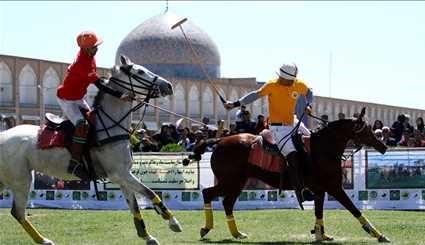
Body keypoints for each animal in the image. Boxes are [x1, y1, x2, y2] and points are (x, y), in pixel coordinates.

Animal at [0, 55, 181, 245]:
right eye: (139, 71)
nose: (168, 85)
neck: (110, 125)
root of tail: (3, 134)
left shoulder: (123, 176)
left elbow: (135, 207)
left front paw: (147, 236)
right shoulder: (120, 174)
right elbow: (150, 192)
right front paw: (172, 221)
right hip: (21, 179)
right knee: (18, 212)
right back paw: (44, 240)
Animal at [187, 108, 390, 243]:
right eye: (365, 130)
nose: (384, 146)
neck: (323, 148)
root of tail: (219, 141)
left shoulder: (320, 190)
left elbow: (319, 213)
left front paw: (321, 234)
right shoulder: (334, 188)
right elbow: (354, 209)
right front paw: (379, 234)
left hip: (237, 182)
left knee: (227, 203)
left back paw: (236, 233)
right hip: (230, 181)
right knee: (208, 194)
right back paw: (206, 228)